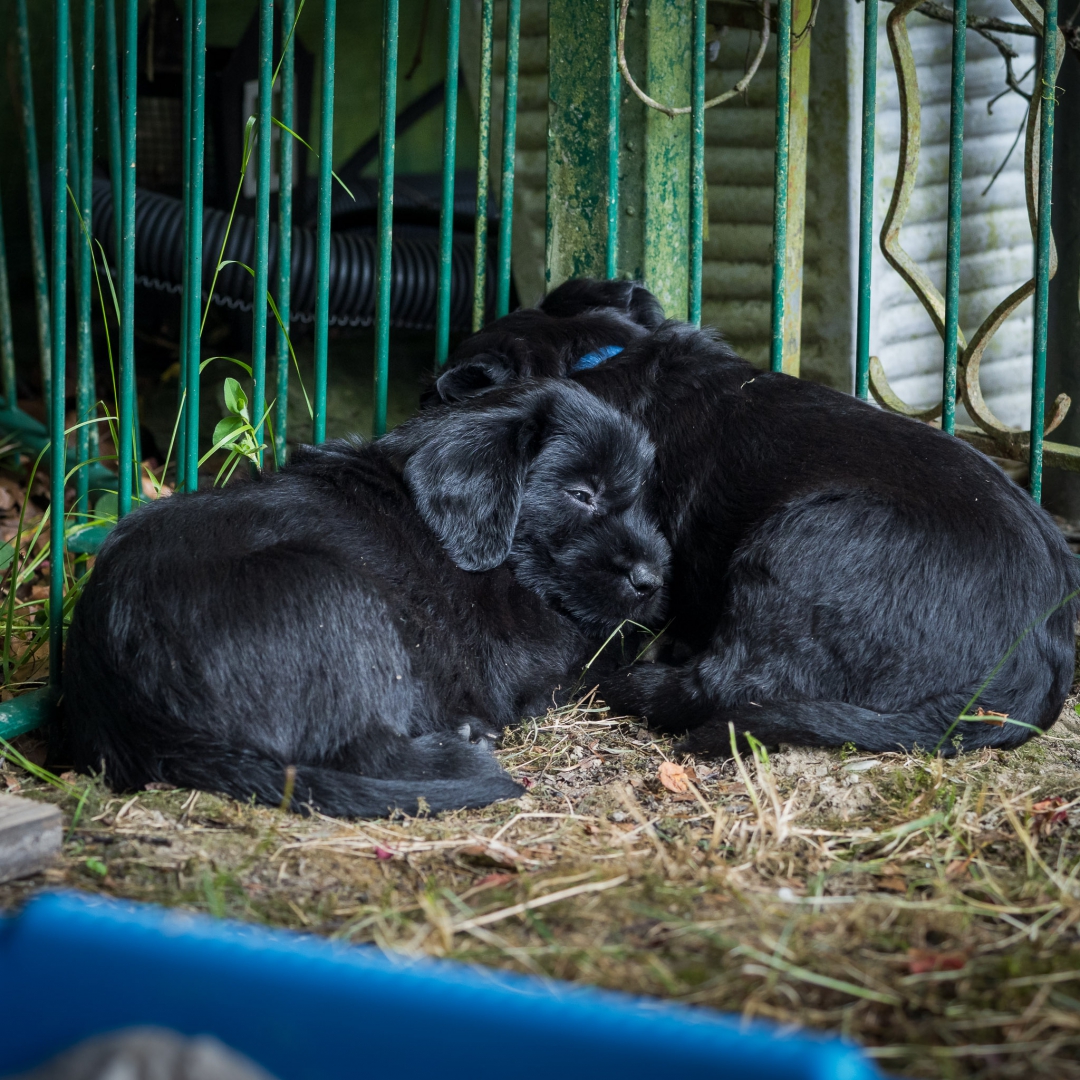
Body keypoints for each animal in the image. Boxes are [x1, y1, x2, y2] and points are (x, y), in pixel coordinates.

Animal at [63, 379, 670, 817]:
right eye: (582, 494)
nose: (653, 579)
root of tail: (134, 710)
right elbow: (592, 655)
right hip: (332, 592)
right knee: (363, 750)